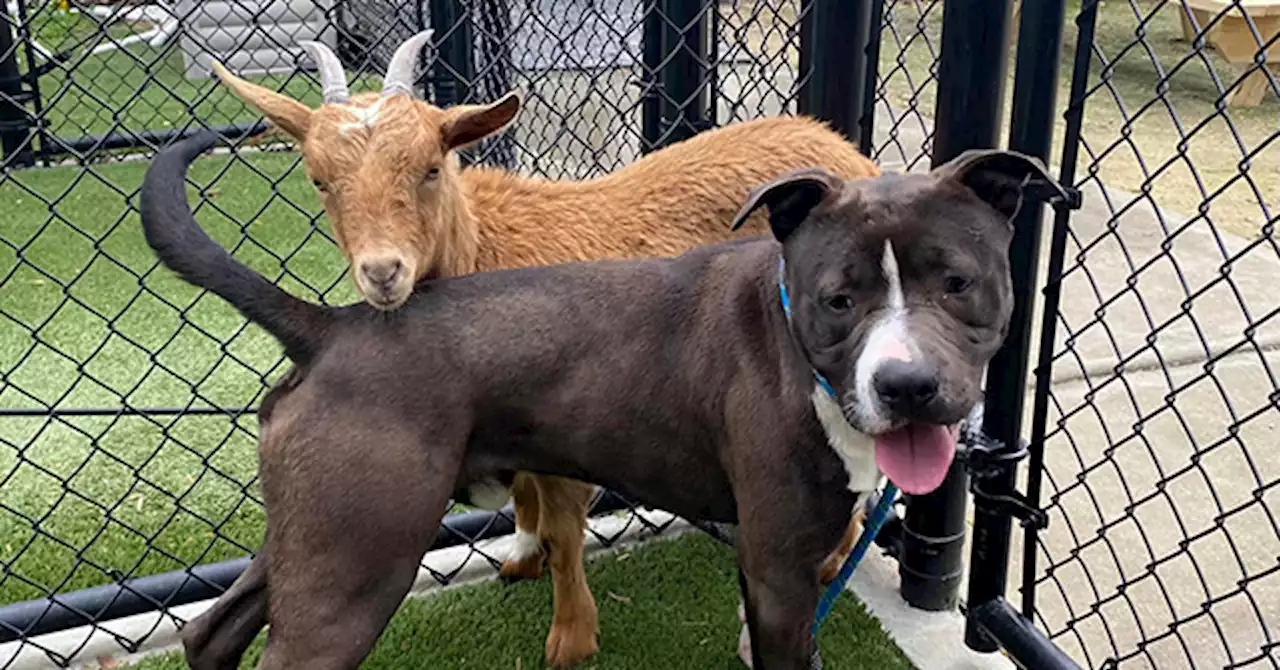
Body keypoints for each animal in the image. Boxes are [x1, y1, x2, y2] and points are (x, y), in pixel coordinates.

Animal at [137, 132, 1059, 670]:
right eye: (839, 298)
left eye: (958, 283)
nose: (908, 386)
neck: (796, 344)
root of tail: (332, 326)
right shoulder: (779, 572)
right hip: (356, 565)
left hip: (314, 535)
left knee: (213, 630)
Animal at [212, 30, 880, 666]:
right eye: (319, 180)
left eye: (431, 167)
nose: (383, 272)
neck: (484, 246)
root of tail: (846, 151)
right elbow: (525, 500)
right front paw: (522, 557)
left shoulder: (570, 439)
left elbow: (564, 532)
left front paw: (570, 638)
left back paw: (831, 562)